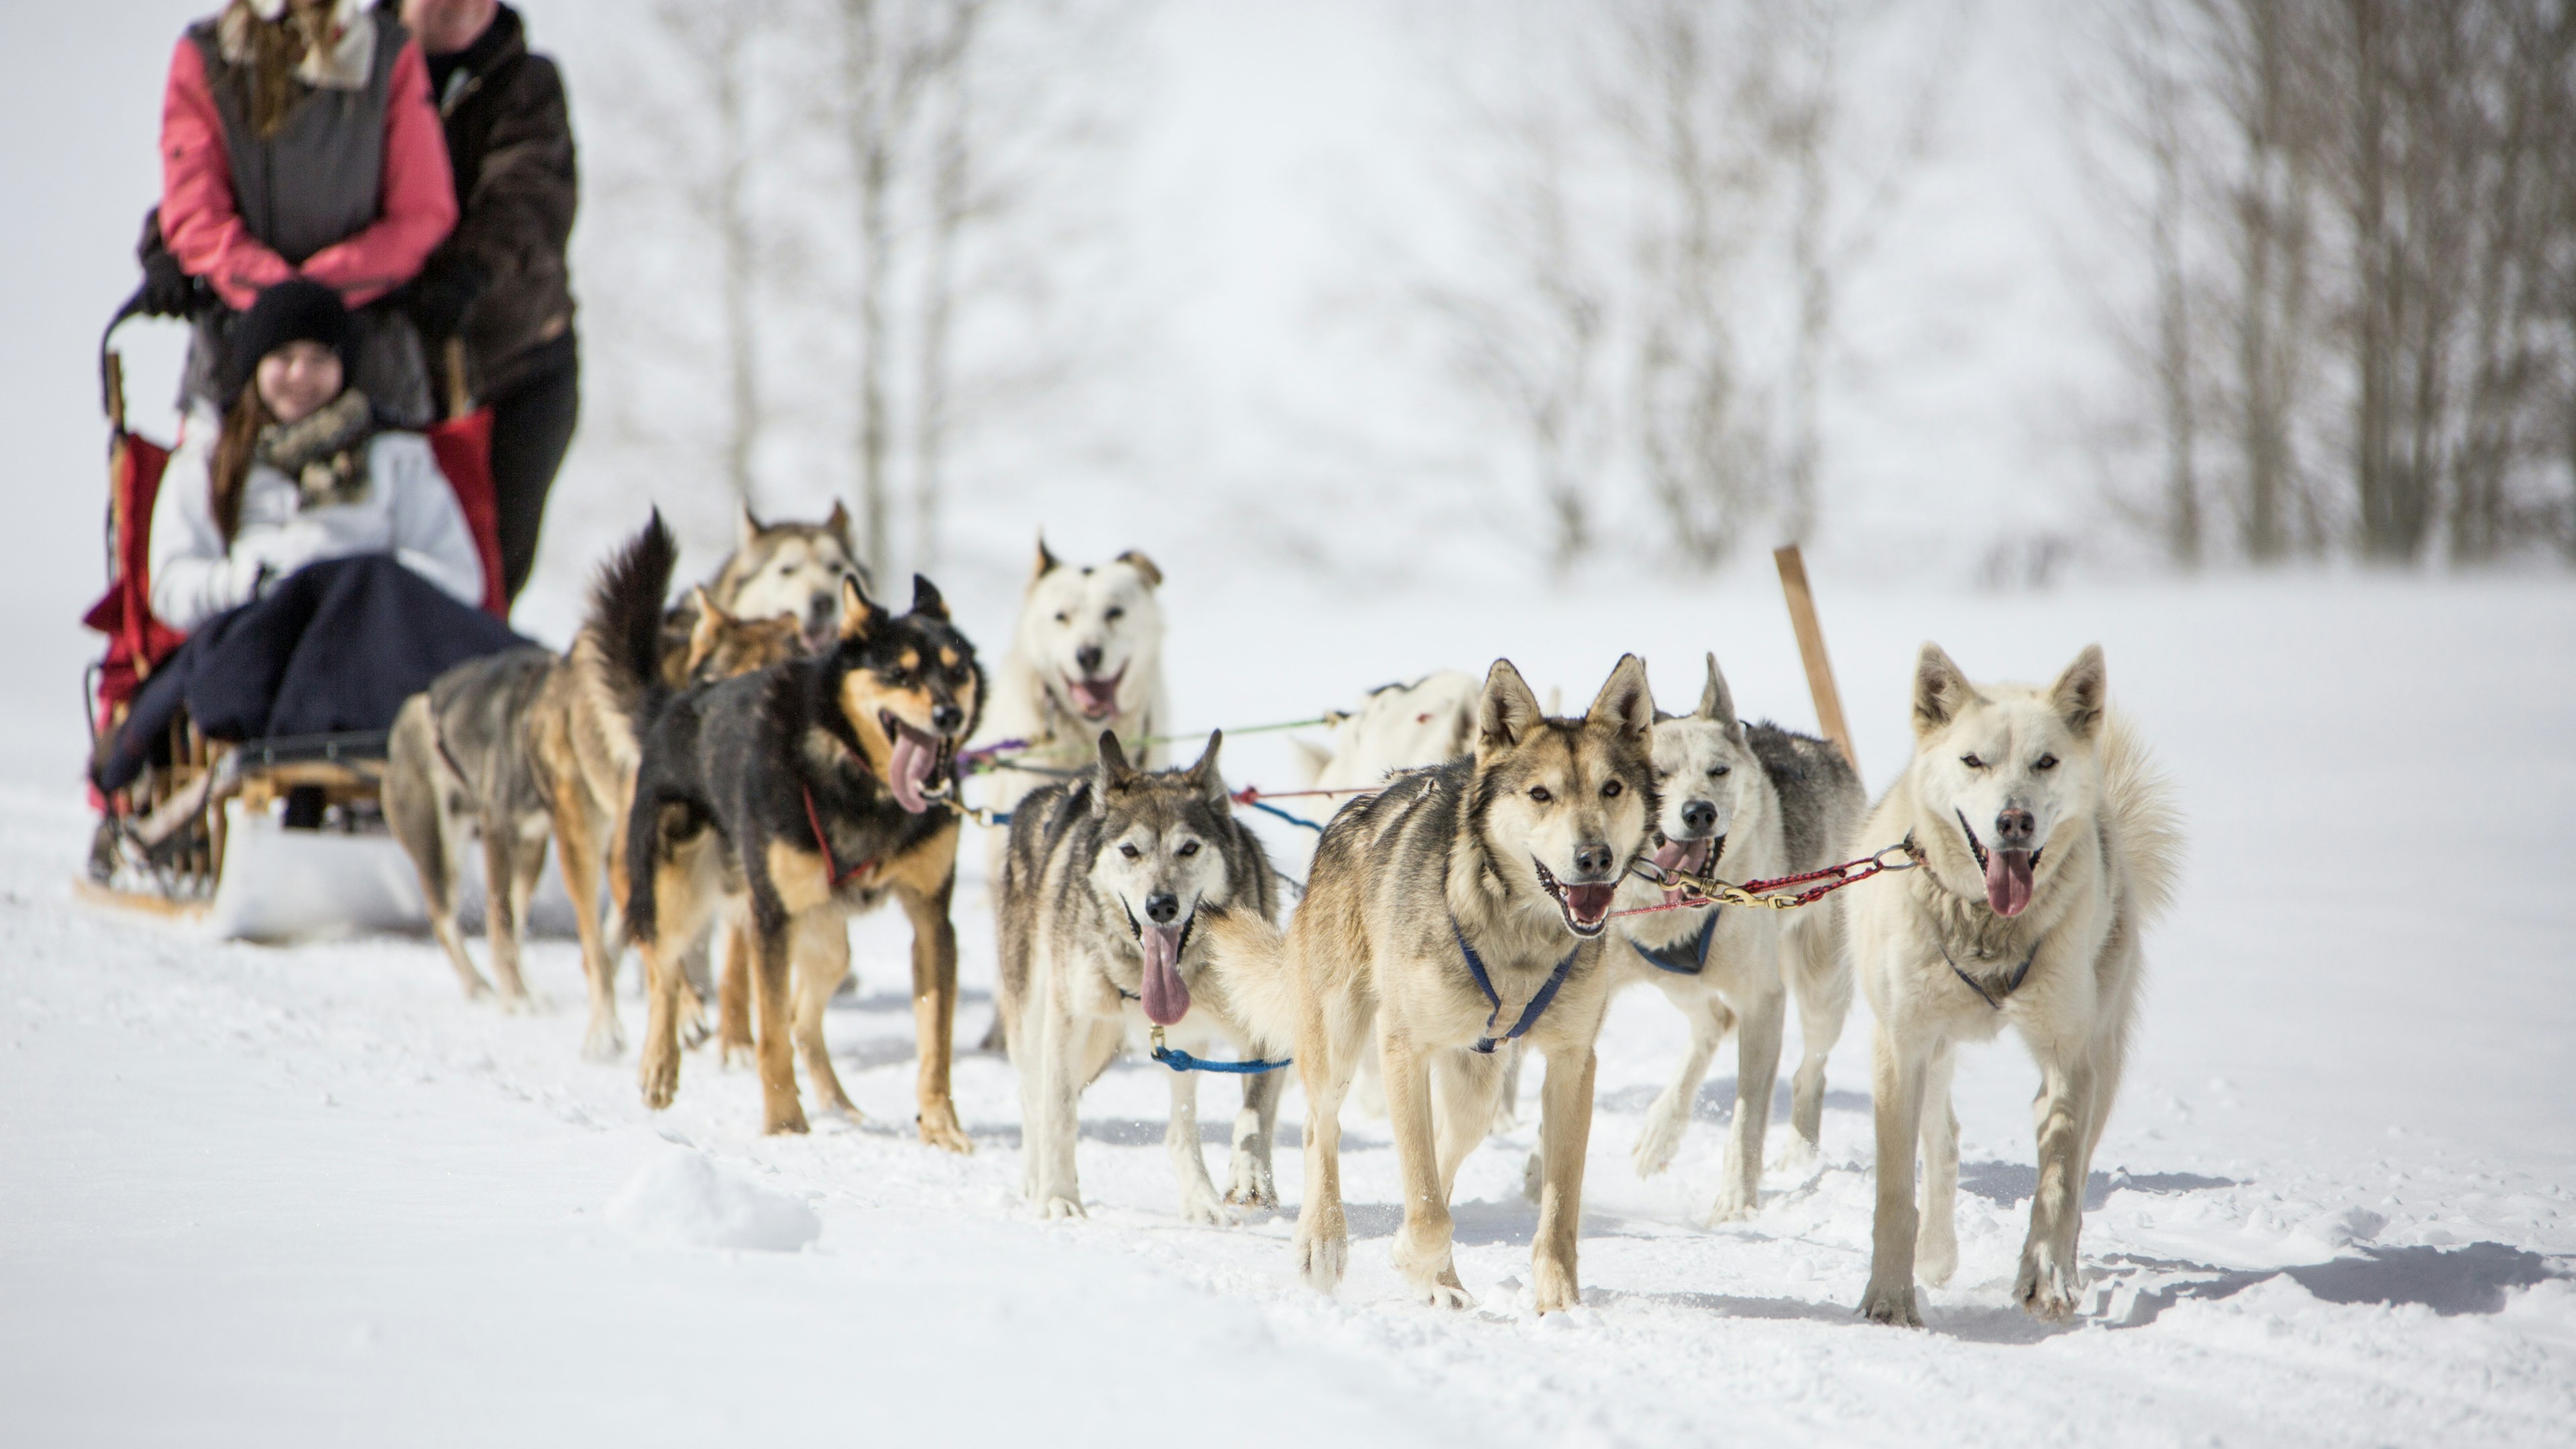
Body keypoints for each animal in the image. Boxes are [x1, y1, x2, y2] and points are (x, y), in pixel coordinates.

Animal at [623, 564, 983, 1139]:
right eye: (900, 674)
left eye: (957, 671)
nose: (948, 714)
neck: (864, 785)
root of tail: (676, 704)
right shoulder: (771, 919)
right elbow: (768, 1035)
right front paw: (785, 1126)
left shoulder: (931, 919)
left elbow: (935, 1042)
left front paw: (941, 1129)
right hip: (675, 891)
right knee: (665, 968)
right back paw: (660, 1064)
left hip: (828, 942)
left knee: (802, 1020)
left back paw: (840, 1104)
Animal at [999, 732, 1288, 1217]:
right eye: (1130, 850)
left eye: (1188, 848)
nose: (1161, 905)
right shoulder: (1067, 1021)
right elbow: (1058, 1111)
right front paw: (1059, 1198)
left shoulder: (1268, 1019)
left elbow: (1254, 1110)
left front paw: (1249, 1174)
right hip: (1044, 1029)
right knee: (1034, 1098)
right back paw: (1035, 1181)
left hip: (1178, 1044)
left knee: (1179, 1128)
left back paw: (1200, 1199)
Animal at [1200, 655, 1648, 1309]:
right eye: (1541, 794)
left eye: (1611, 789)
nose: (1595, 857)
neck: (1517, 935)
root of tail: (1356, 806)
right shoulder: (1402, 1049)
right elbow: (1428, 1209)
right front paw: (1411, 1255)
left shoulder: (1572, 1061)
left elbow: (1558, 1204)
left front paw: (1557, 1299)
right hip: (1339, 1036)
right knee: (1321, 1126)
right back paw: (1324, 1241)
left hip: (1477, 1087)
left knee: (1444, 1149)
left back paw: (1442, 1279)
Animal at [1597, 649, 1865, 1212]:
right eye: (1659, 774)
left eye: (1717, 771)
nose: (1700, 811)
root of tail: (1825, 749)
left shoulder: (1764, 1002)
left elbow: (1747, 1120)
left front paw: (1738, 1204)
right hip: (1679, 983)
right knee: (1713, 1023)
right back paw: (1660, 1133)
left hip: (1821, 987)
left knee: (1810, 1072)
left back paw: (1800, 1158)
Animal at [1854, 642, 2174, 1320]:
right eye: (1973, 761)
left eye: (2045, 761)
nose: (2015, 821)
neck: (1987, 927)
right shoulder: (1900, 1046)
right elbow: (1895, 1190)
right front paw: (1891, 1296)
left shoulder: (2068, 1053)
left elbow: (2058, 1179)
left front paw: (2047, 1278)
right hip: (1931, 1048)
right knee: (1941, 1141)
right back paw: (1936, 1253)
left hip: (2101, 1056)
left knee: (2072, 1165)